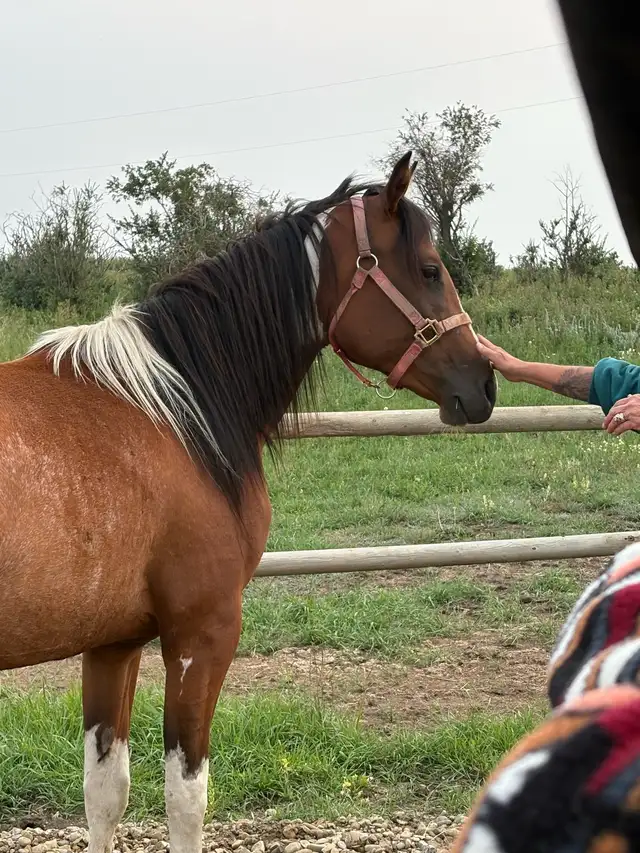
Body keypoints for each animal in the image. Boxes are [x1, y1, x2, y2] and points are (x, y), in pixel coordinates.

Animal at [0, 152, 495, 853]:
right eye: (428, 269)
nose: (484, 385)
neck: (172, 410)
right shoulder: (202, 634)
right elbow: (186, 797)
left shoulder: (113, 644)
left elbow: (104, 793)